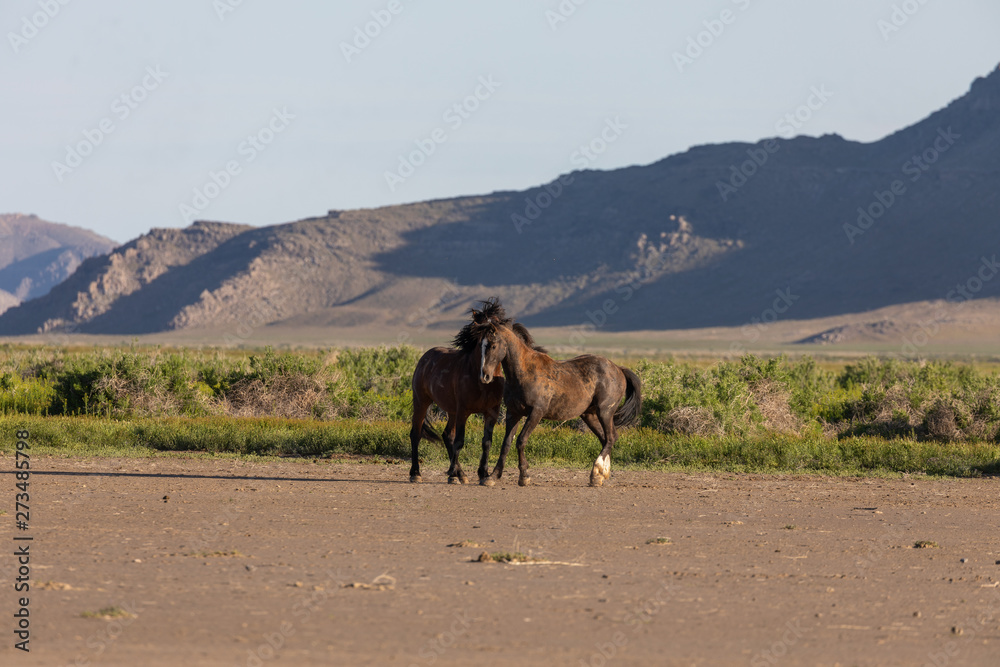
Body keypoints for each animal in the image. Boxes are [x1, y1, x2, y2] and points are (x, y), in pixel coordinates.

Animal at [408, 300, 536, 482]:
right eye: (479, 335)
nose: (485, 375)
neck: (482, 384)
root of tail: (425, 357)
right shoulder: (463, 411)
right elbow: (460, 441)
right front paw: (454, 474)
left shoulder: (491, 412)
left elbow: (486, 441)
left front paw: (483, 473)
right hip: (422, 402)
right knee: (416, 434)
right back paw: (416, 473)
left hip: (451, 410)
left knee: (447, 435)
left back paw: (459, 473)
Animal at [474, 310, 640, 488]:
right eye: (480, 345)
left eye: (493, 345)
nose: (484, 376)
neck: (524, 373)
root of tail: (618, 368)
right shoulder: (513, 413)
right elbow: (506, 444)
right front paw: (492, 477)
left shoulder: (536, 413)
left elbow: (521, 440)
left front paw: (524, 476)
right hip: (589, 415)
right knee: (605, 439)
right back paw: (601, 475)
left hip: (605, 412)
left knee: (611, 438)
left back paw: (596, 474)